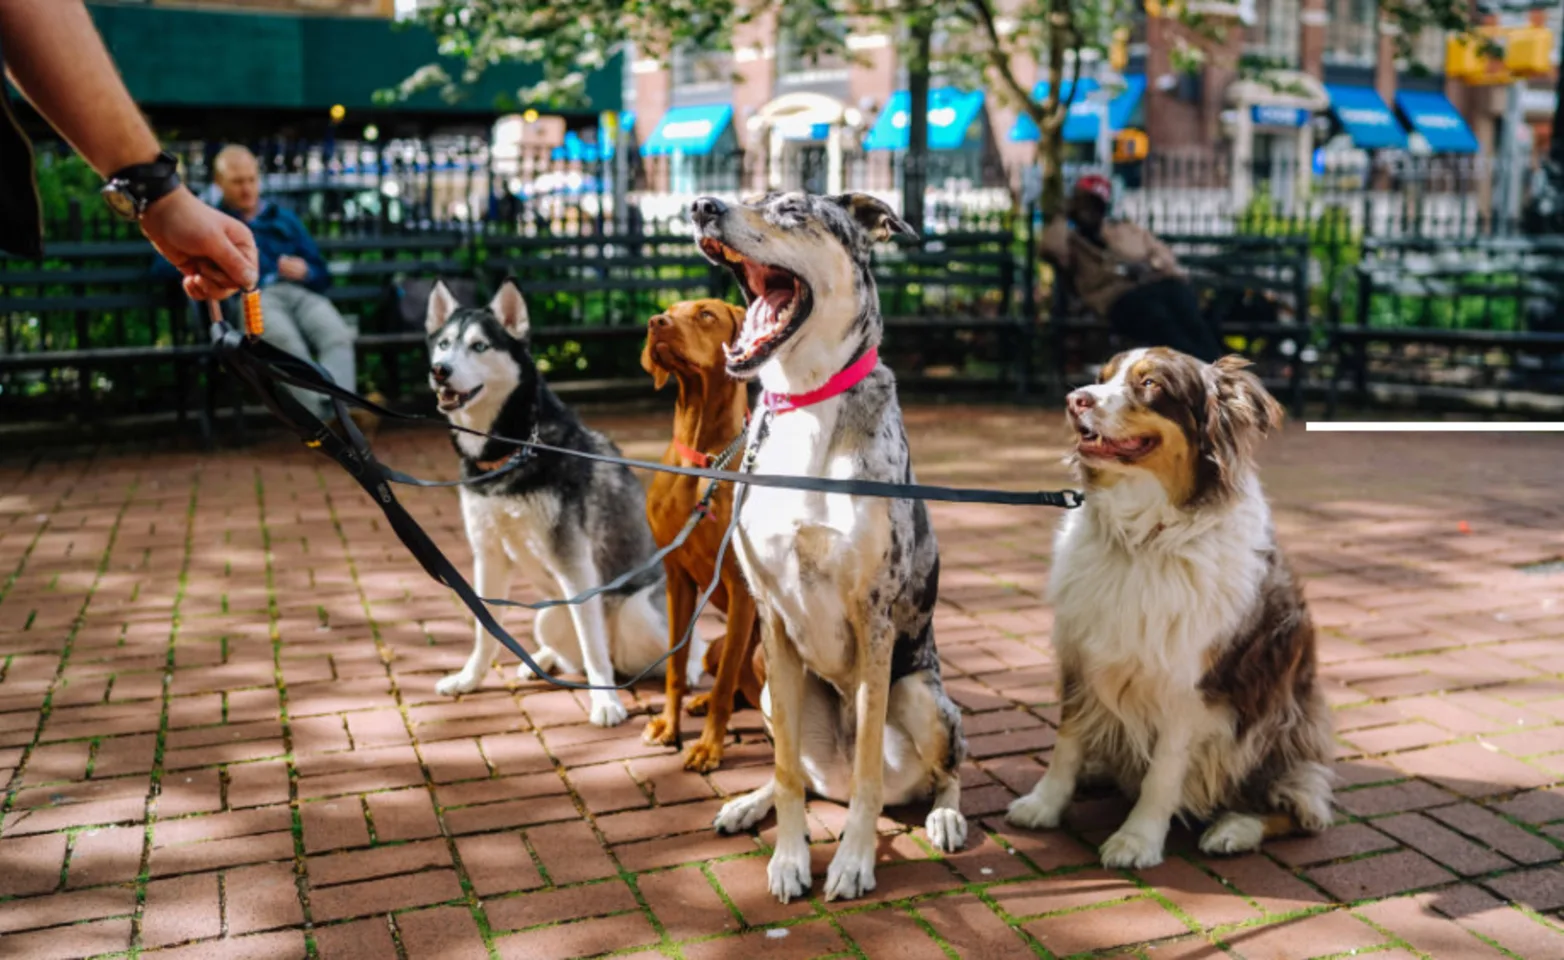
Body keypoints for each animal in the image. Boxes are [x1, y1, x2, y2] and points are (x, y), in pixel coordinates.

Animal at [422, 278, 703, 728]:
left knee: (683, 645)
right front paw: (469, 678)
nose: (440, 371)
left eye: (480, 346)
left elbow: (592, 644)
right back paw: (542, 660)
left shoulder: (575, 562)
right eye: (444, 344)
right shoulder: (488, 555)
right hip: (549, 615)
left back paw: (686, 669)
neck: (513, 450)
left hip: (636, 612)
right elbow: (485, 630)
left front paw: (606, 703)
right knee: (577, 653)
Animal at [641, 297, 763, 772]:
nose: (655, 323)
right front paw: (669, 725)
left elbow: (726, 685)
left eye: (706, 314)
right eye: (668, 310)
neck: (702, 460)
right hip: (714, 644)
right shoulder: (676, 577)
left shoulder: (742, 588)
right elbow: (676, 667)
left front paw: (709, 747)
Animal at [694, 191, 963, 906]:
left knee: (942, 773)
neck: (806, 401)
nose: (702, 205)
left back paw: (945, 817)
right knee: (804, 774)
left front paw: (852, 862)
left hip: (923, 697)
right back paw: (748, 803)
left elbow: (869, 772)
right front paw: (790, 859)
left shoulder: (874, 620)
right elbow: (788, 771)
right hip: (767, 689)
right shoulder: (771, 617)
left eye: (791, 208)